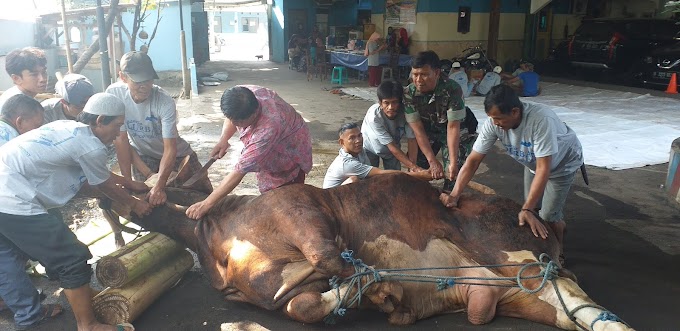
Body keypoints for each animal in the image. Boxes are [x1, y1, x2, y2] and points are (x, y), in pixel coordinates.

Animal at [106, 175, 632, 330]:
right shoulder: (274, 290)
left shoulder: (304, 208)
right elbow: (301, 304)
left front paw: (377, 289)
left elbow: (329, 256)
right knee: (573, 313)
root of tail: (536, 216)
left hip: (516, 253)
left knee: (582, 302)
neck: (214, 235)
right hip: (521, 291)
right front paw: (380, 296)